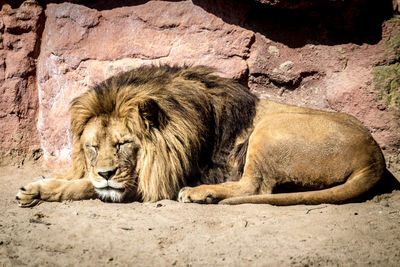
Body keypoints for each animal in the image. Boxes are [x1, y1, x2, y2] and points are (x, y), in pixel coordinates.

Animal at [16, 65, 388, 207]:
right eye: (92, 147)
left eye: (123, 144)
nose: (106, 172)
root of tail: (375, 156)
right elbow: (78, 178)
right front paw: (37, 187)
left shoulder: (158, 178)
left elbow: (87, 186)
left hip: (270, 129)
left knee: (254, 187)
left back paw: (199, 194)